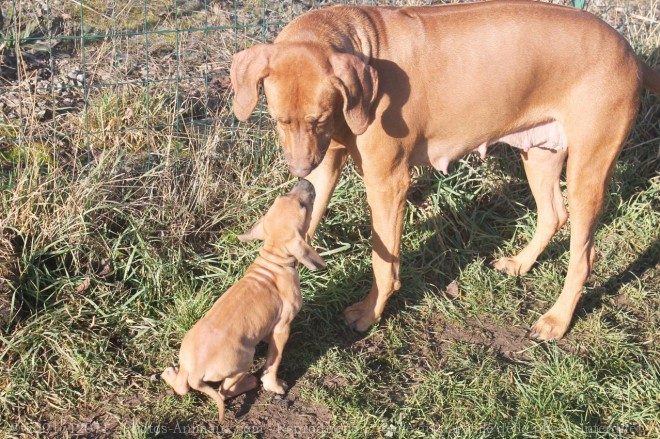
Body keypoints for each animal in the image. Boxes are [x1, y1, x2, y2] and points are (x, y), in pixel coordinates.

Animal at [161, 180, 324, 424]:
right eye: (304, 207)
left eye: (284, 195)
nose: (305, 181)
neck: (274, 260)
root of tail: (197, 372)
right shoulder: (282, 328)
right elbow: (274, 361)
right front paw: (274, 385)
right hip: (245, 359)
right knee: (224, 391)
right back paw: (250, 382)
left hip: (186, 355)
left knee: (182, 386)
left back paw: (170, 374)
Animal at [229, 0, 656, 340]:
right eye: (279, 120)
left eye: (318, 119)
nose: (298, 167)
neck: (357, 42)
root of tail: (629, 52)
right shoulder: (324, 165)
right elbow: (306, 214)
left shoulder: (387, 182)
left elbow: (382, 262)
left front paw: (369, 312)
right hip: (541, 151)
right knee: (554, 214)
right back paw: (521, 264)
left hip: (589, 168)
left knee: (583, 255)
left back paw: (557, 319)